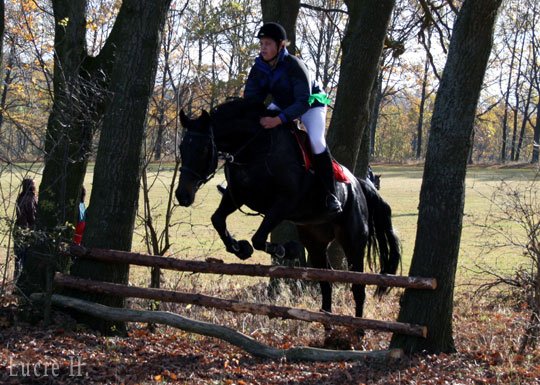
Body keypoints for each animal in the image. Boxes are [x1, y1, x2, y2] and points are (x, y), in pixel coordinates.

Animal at [175, 98, 398, 324]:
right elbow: (218, 220)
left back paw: (357, 328)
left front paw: (285, 249)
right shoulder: (236, 196)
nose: (182, 196)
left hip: (353, 240)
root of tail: (358, 183)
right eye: (182, 148)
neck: (255, 148)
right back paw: (327, 324)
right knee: (326, 282)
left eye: (203, 149)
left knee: (358, 287)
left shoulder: (283, 204)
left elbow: (258, 238)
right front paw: (240, 248)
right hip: (315, 240)